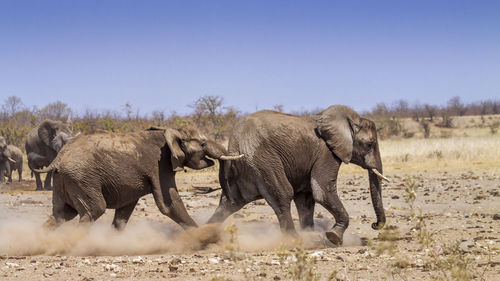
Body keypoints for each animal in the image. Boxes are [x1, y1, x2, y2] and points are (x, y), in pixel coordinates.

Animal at [35, 126, 242, 229]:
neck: (171, 130)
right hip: (81, 178)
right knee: (93, 211)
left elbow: (125, 210)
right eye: (203, 143)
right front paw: (204, 238)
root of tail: (59, 158)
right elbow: (169, 204)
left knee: (61, 215)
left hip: (65, 180)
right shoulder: (159, 165)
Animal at [205, 104, 388, 244]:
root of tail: (233, 143)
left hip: (243, 168)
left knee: (230, 203)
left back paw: (203, 234)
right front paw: (333, 237)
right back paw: (295, 240)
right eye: (370, 144)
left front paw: (312, 234)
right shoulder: (327, 153)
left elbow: (306, 199)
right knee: (283, 194)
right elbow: (321, 190)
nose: (374, 224)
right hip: (262, 160)